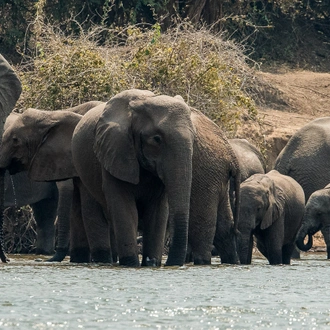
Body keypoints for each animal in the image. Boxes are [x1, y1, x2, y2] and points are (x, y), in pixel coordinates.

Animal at [69, 89, 240, 266]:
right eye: (156, 139)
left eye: (194, 140)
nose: (170, 263)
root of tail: (231, 155)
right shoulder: (115, 153)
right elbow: (125, 210)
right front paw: (131, 264)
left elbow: (158, 212)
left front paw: (151, 264)